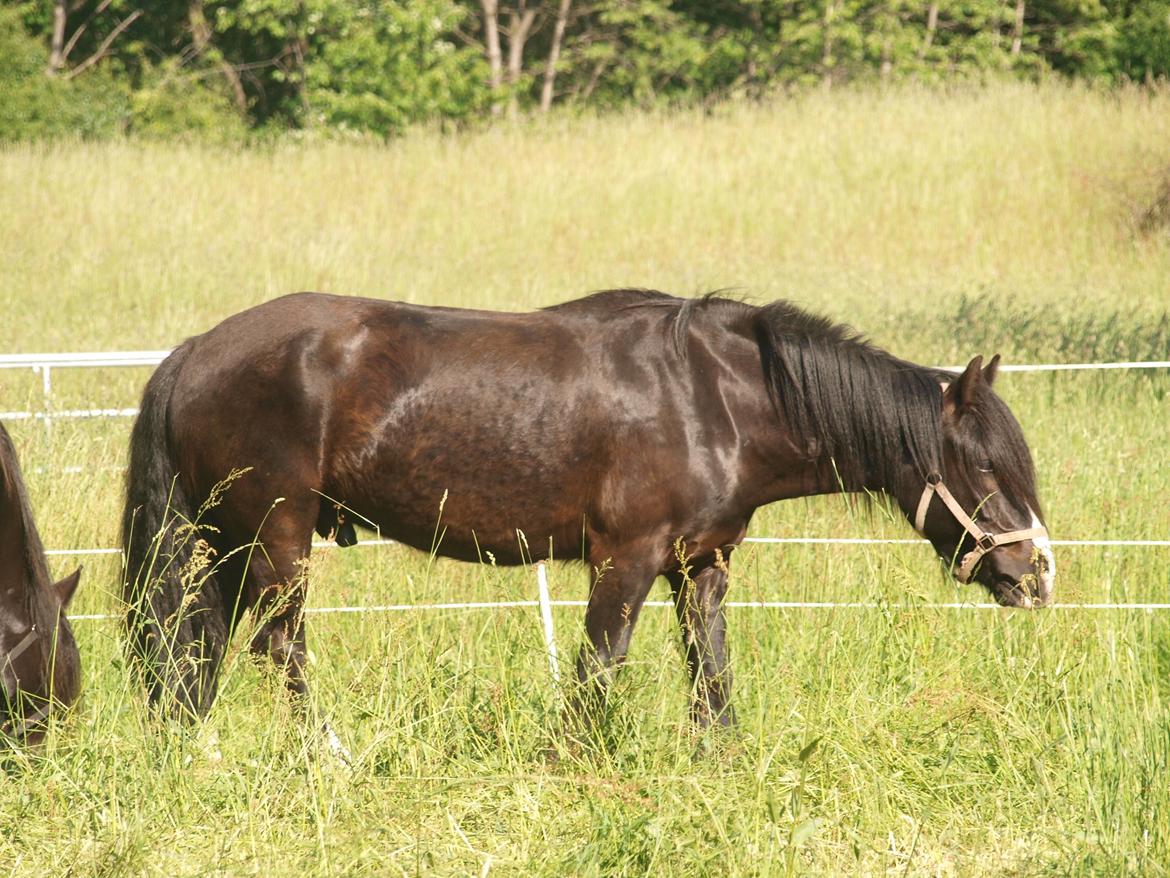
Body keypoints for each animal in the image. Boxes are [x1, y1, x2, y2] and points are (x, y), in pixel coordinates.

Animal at [123, 292, 1057, 730]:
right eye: (983, 464)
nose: (1038, 573)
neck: (712, 399)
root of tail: (196, 350)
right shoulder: (628, 559)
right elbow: (599, 670)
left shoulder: (700, 567)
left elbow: (711, 678)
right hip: (276, 535)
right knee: (278, 646)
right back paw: (328, 757)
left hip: (228, 541)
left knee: (198, 646)